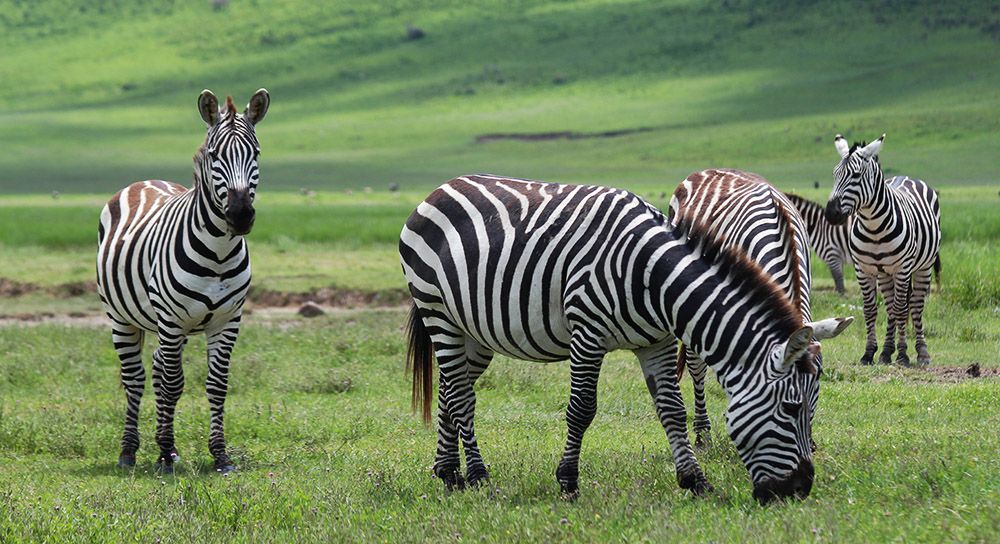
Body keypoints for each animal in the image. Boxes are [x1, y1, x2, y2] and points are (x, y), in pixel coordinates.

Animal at [96, 88, 270, 472]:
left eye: (255, 153)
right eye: (214, 155)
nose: (240, 215)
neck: (219, 253)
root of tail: (145, 181)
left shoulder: (227, 321)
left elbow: (216, 385)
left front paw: (219, 454)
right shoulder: (172, 319)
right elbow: (174, 384)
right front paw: (163, 454)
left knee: (158, 368)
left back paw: (168, 447)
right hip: (123, 318)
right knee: (136, 379)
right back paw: (129, 451)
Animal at [824, 134, 940, 368]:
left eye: (856, 175)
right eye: (834, 174)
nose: (831, 213)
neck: (873, 227)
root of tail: (907, 177)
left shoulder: (903, 269)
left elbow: (902, 308)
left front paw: (903, 355)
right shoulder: (863, 270)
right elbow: (870, 310)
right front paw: (869, 353)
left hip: (924, 266)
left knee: (915, 306)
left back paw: (921, 353)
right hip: (884, 273)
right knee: (890, 307)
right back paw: (886, 353)